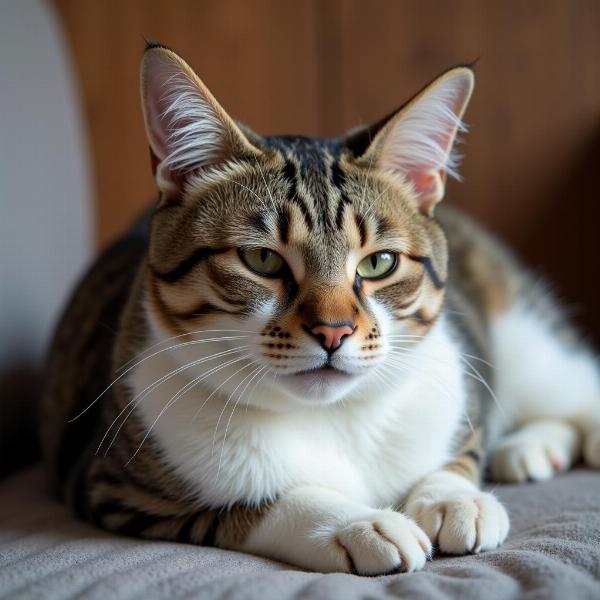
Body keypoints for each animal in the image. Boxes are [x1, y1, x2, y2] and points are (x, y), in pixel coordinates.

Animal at [41, 44, 600, 576]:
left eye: (378, 262)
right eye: (262, 259)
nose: (333, 331)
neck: (335, 417)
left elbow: (457, 453)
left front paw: (455, 499)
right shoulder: (116, 486)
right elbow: (252, 504)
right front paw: (359, 523)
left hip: (526, 341)